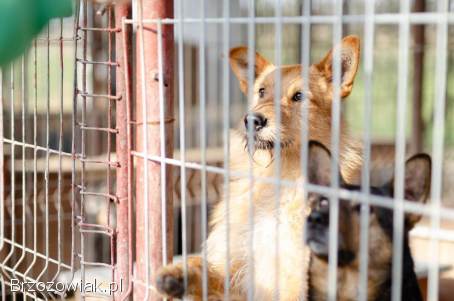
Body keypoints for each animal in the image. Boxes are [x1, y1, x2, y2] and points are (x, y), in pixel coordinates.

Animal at [156, 36, 362, 298]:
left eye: (299, 96)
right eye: (261, 92)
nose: (252, 120)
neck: (280, 176)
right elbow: (205, 269)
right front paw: (178, 274)